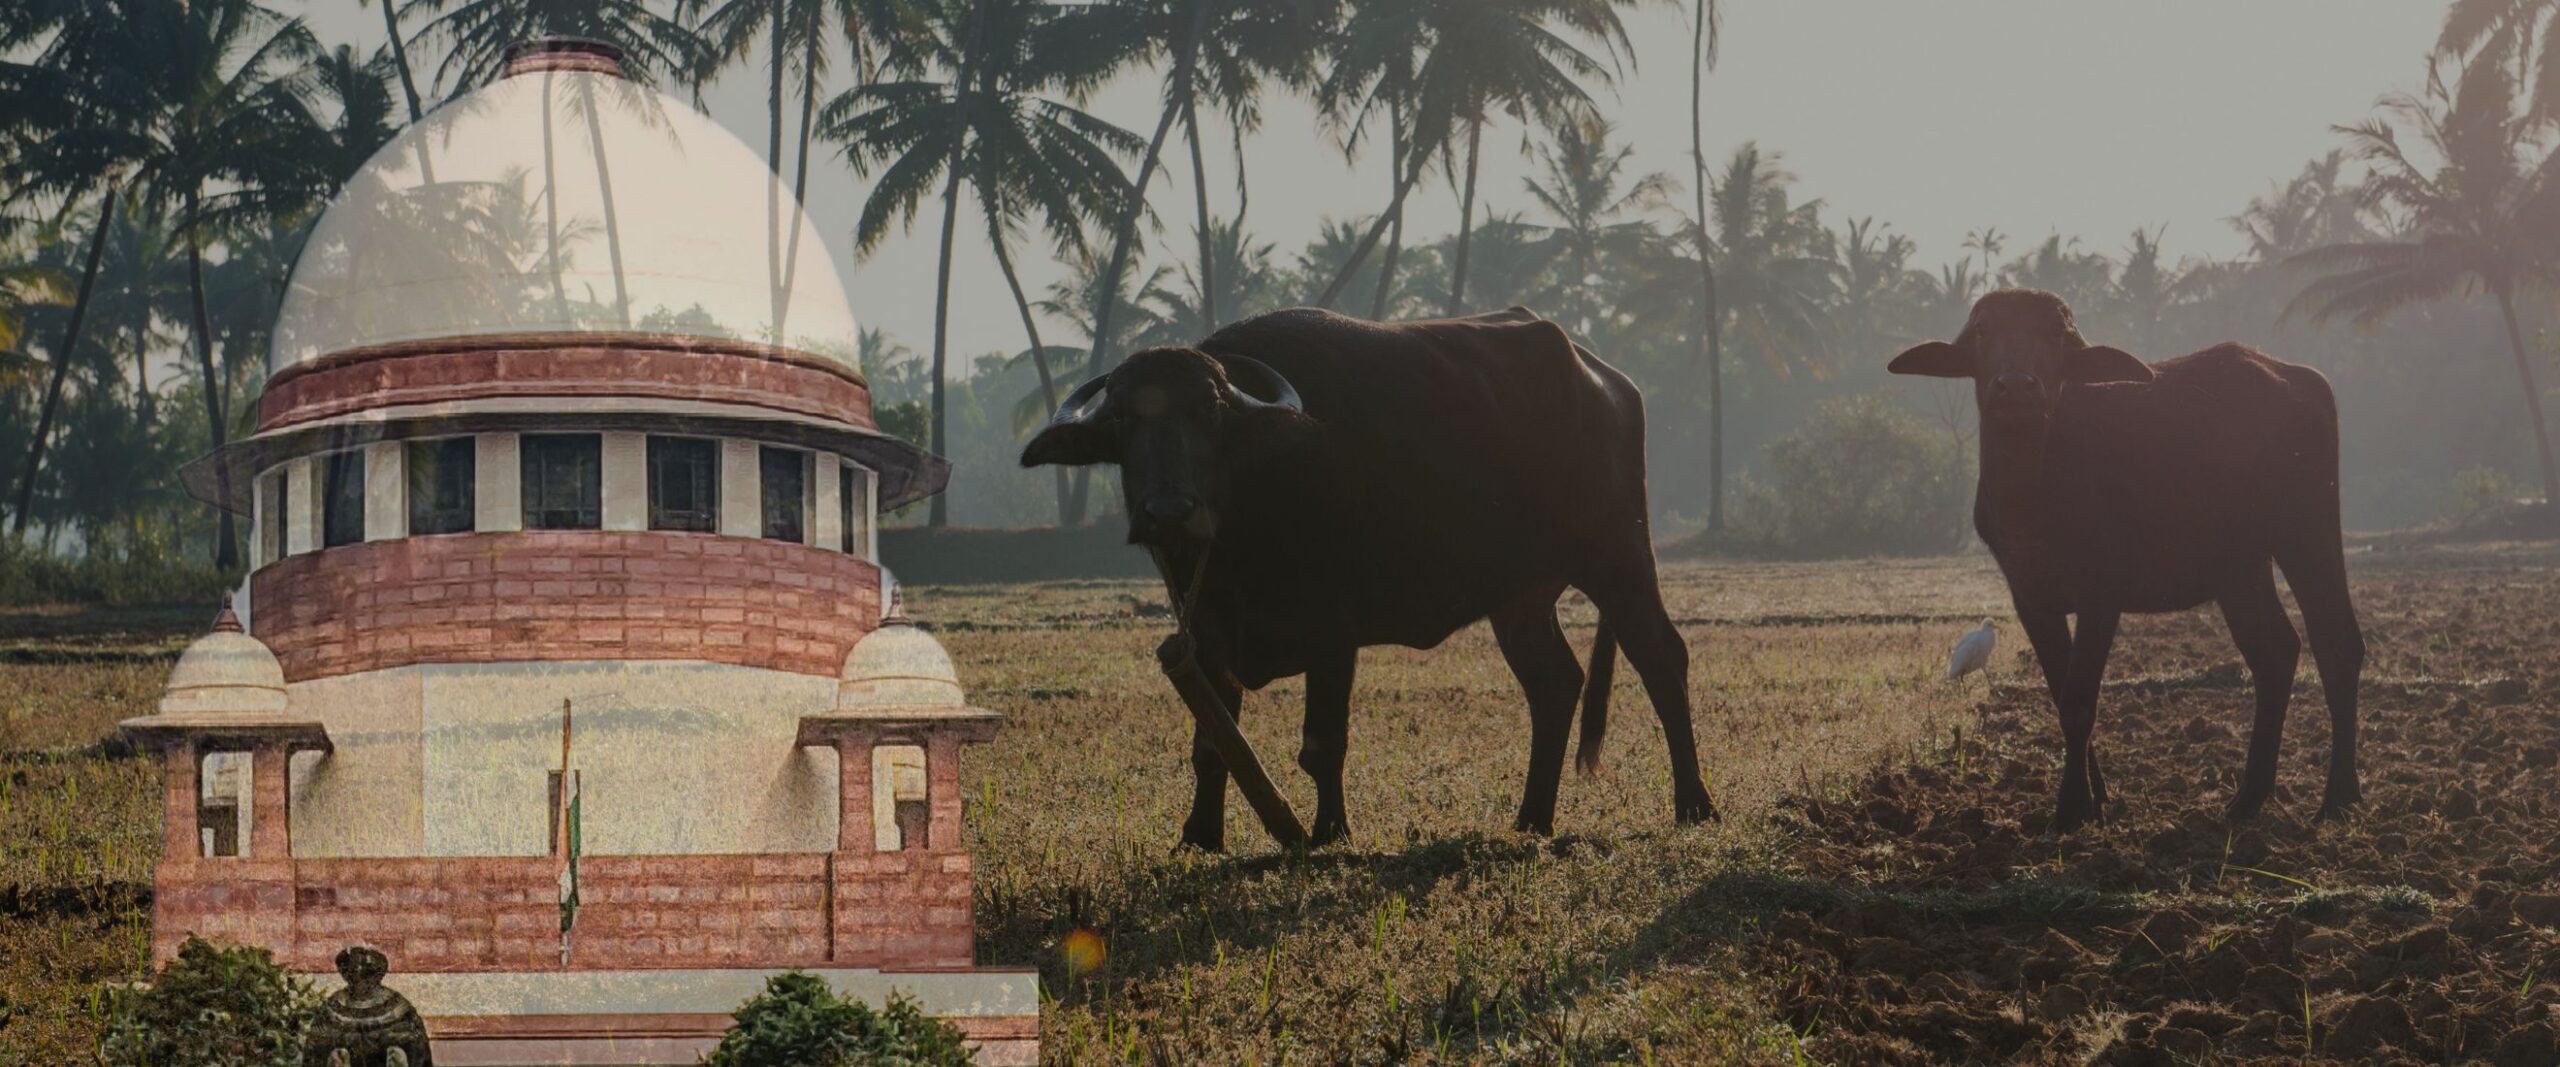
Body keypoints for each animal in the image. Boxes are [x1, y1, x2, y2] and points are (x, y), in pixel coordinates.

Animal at [1018, 303, 1720, 844]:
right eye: (1123, 418)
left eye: (1211, 414)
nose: (1169, 511)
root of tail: (1605, 379)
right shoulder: (1205, 634)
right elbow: (1212, 744)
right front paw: (1200, 836)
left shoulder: (1334, 632)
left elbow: (1322, 744)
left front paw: (1330, 833)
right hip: (1519, 596)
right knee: (1555, 681)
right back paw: (1531, 819)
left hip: (1619, 555)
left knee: (1661, 656)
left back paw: (1694, 805)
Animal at [1884, 291, 2355, 829]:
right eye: (1983, 331)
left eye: (2055, 335)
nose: (2017, 386)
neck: (2034, 492)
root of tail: (2298, 377)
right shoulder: (2030, 598)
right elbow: (2060, 691)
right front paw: (2096, 796)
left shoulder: (2101, 596)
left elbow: (2079, 700)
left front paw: (2071, 807)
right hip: (2241, 568)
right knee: (2275, 652)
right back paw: (2248, 798)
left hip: (2308, 532)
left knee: (2337, 644)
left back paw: (2339, 797)